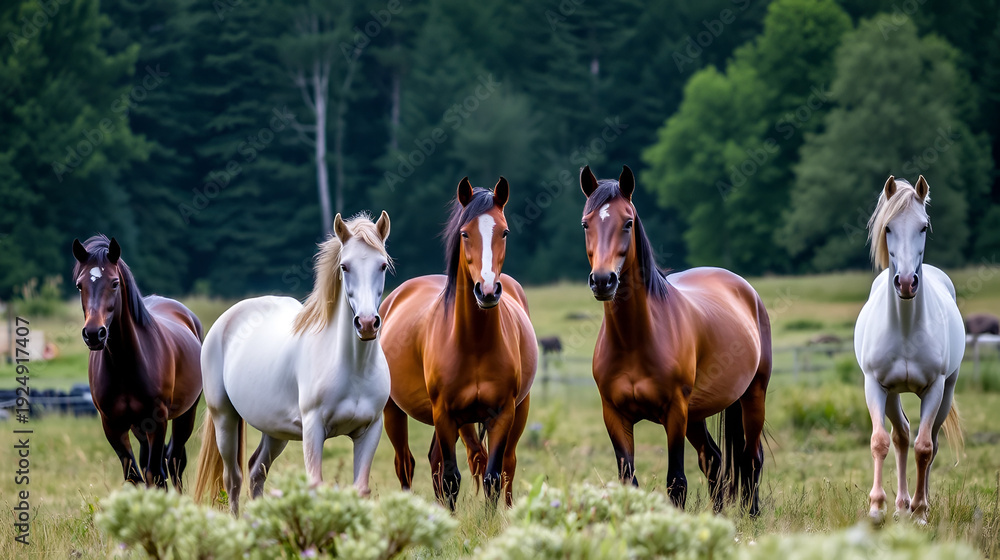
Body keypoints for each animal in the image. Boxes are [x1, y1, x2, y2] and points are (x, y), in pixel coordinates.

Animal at [71, 235, 203, 489]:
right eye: (80, 285)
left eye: (114, 283)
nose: (93, 334)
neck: (124, 365)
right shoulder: (112, 426)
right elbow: (135, 475)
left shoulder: (157, 421)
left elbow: (155, 474)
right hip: (139, 427)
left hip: (185, 415)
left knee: (174, 461)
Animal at [193, 212, 392, 515]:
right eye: (344, 266)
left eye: (382, 265)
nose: (367, 323)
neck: (353, 368)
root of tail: (225, 320)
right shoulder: (313, 430)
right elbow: (314, 487)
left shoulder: (369, 431)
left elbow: (360, 489)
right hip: (224, 418)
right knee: (233, 479)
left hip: (275, 431)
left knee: (256, 471)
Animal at [379, 177, 537, 510]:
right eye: (465, 233)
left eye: (504, 231)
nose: (487, 290)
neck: (473, 342)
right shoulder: (444, 414)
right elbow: (451, 477)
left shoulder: (502, 414)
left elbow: (491, 476)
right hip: (393, 411)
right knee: (407, 464)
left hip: (519, 410)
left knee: (506, 463)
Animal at [579, 165, 772, 515]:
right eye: (586, 223)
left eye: (627, 222)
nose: (602, 281)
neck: (634, 340)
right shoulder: (614, 416)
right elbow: (629, 482)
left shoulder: (675, 413)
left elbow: (676, 483)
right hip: (698, 413)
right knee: (714, 459)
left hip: (752, 396)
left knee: (751, 459)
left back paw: (752, 517)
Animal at [855, 175, 964, 523]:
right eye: (888, 227)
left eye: (924, 226)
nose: (905, 282)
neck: (905, 329)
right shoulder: (875, 385)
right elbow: (880, 441)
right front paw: (876, 507)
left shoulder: (934, 389)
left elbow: (924, 447)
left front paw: (920, 512)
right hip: (892, 394)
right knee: (901, 436)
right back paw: (900, 506)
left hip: (947, 391)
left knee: (930, 443)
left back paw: (918, 504)